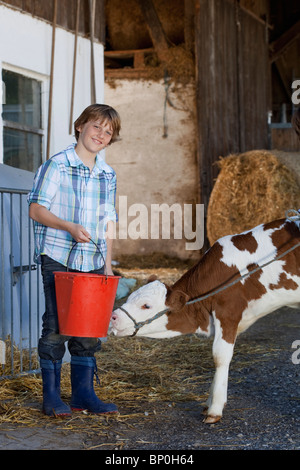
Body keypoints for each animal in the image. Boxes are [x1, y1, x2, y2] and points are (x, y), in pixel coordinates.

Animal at [110, 218, 300, 424]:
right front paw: (210, 402)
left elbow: (220, 356)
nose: (113, 317)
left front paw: (215, 409)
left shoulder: (228, 313)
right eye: (130, 297)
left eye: (146, 305)